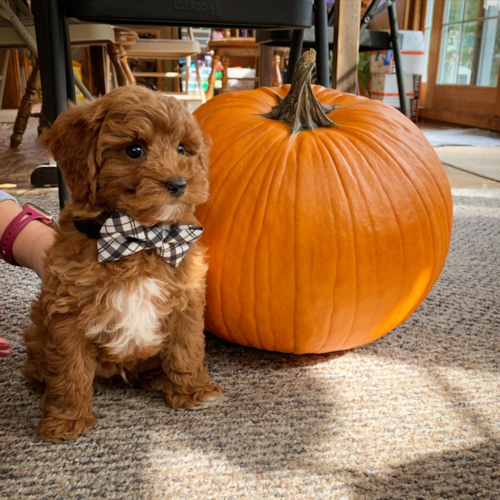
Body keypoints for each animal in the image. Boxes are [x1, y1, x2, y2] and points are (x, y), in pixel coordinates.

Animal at [23, 86, 223, 442]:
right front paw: (67, 419)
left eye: (182, 148)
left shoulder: (185, 297)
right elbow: (70, 368)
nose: (178, 184)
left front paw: (192, 392)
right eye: (134, 150)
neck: (139, 237)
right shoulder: (67, 311)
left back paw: (155, 376)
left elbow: (186, 347)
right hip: (37, 333)